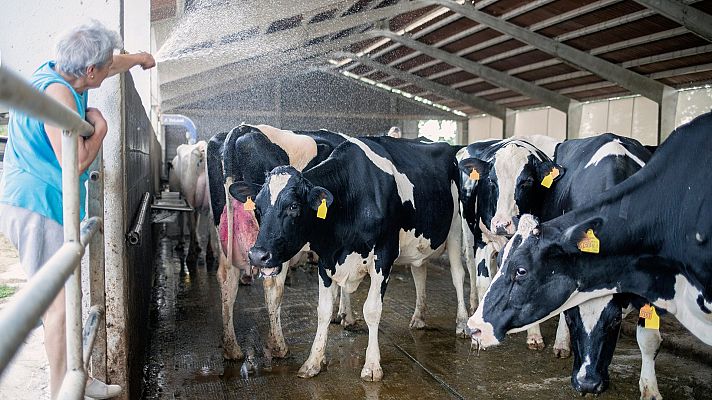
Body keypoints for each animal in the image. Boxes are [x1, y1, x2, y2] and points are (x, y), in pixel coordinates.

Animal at [206, 124, 346, 360]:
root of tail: (244, 129)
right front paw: (345, 315)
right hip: (273, 248)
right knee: (272, 287)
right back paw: (279, 346)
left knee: (227, 280)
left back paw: (231, 347)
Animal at [232, 136, 468, 381]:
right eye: (257, 208)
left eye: (293, 206)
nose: (257, 255)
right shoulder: (326, 259)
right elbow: (324, 311)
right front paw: (313, 362)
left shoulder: (384, 255)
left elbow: (372, 309)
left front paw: (372, 365)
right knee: (419, 271)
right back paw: (419, 318)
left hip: (456, 229)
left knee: (458, 275)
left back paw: (462, 323)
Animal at [457, 136, 569, 352]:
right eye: (491, 180)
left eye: (527, 181)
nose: (502, 224)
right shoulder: (483, 241)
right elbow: (484, 282)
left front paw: (534, 336)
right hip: (467, 227)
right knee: (470, 264)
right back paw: (474, 303)